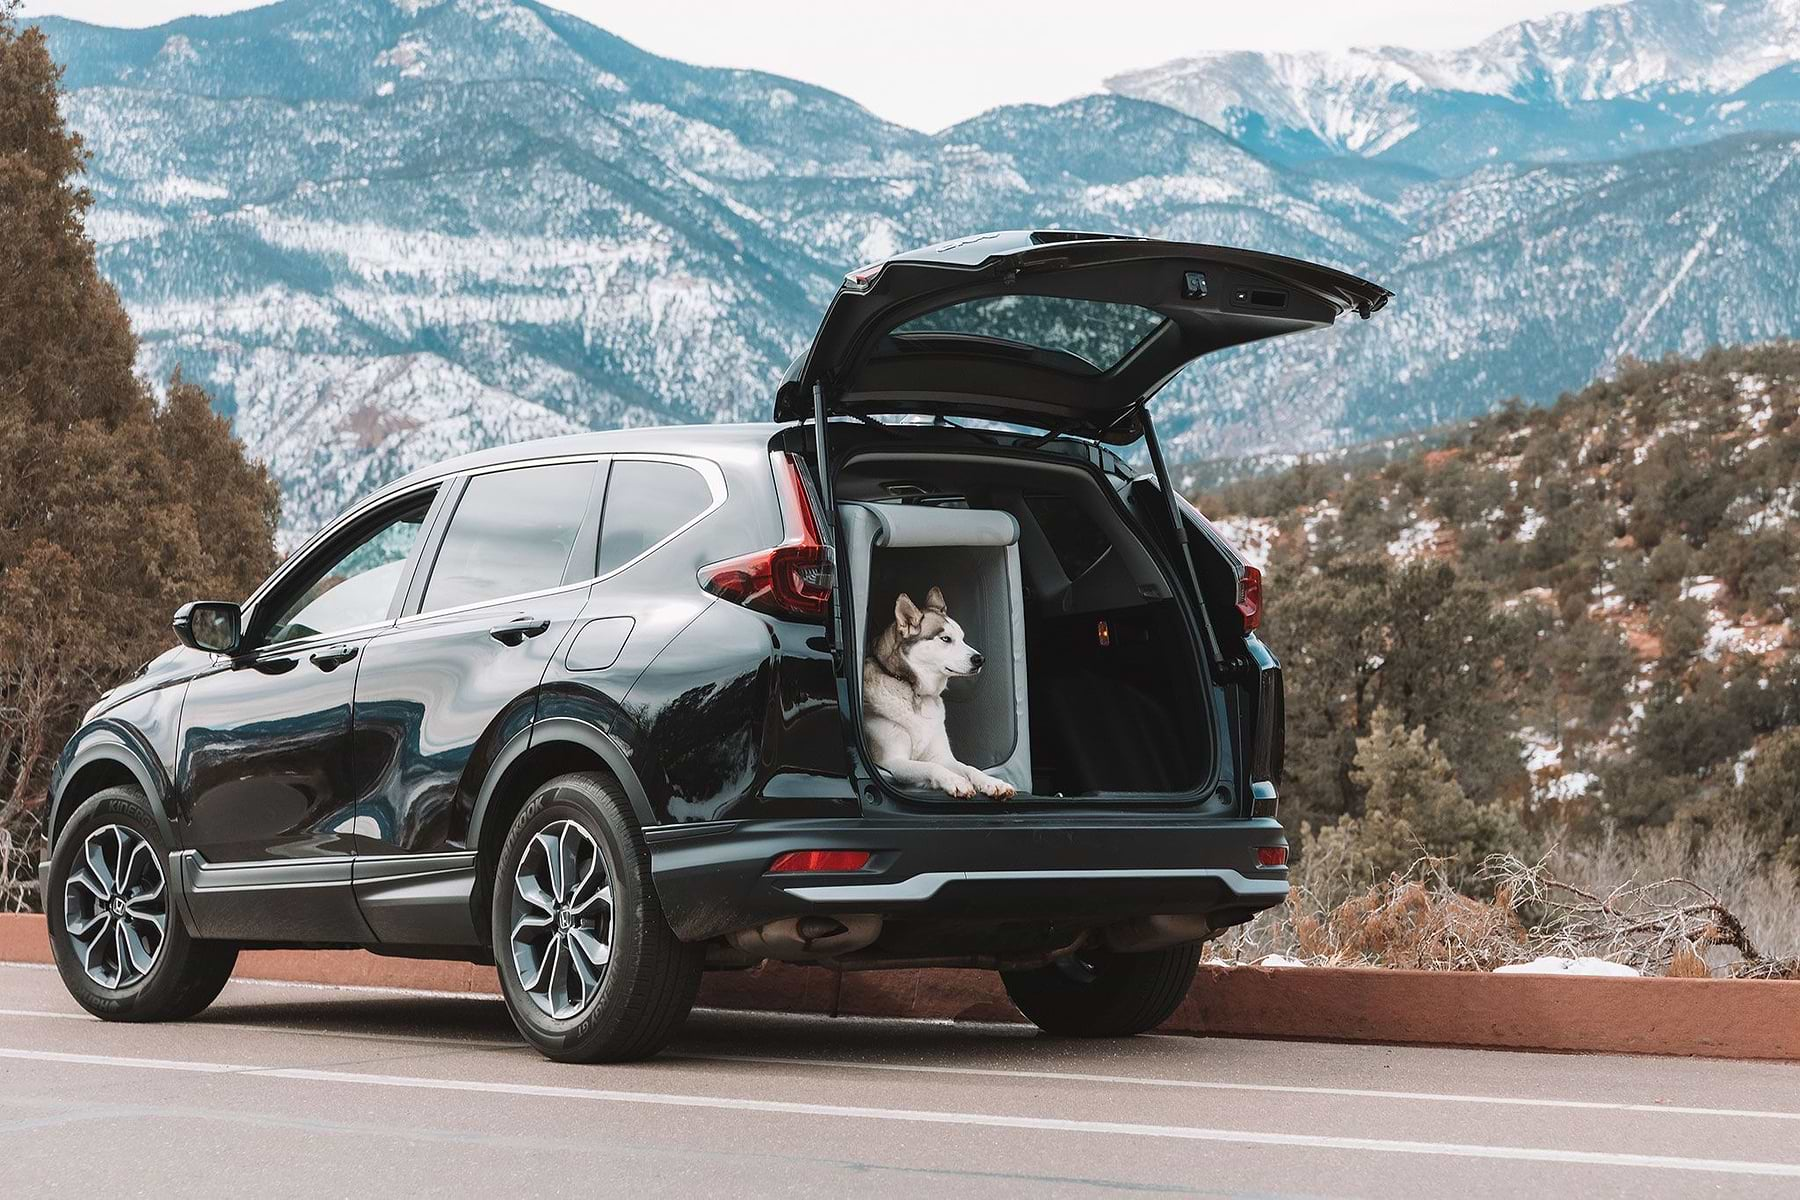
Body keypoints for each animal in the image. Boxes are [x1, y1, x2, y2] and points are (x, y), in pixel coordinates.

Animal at [856, 590, 1015, 802]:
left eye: (963, 638)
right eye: (946, 639)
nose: (980, 659)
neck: (915, 692)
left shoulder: (942, 756)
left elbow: (969, 767)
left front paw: (993, 782)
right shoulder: (893, 762)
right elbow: (931, 767)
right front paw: (956, 781)